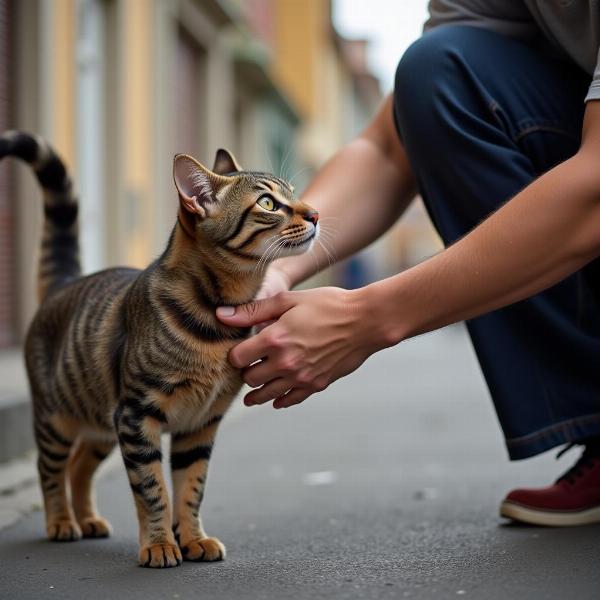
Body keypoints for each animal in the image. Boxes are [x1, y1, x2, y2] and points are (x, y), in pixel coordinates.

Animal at [1, 131, 318, 568]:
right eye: (268, 203)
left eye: (294, 193)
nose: (317, 213)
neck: (218, 317)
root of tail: (65, 282)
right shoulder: (138, 416)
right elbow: (153, 492)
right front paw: (159, 544)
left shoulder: (199, 425)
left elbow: (190, 490)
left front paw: (193, 538)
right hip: (59, 420)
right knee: (50, 469)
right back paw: (62, 522)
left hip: (103, 423)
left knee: (80, 467)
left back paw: (88, 520)